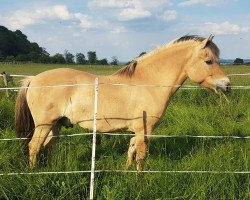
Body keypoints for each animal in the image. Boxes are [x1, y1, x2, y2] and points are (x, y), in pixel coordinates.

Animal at [15, 34, 230, 170]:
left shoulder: (138, 130)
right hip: (44, 125)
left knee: (49, 146)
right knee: (34, 147)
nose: (227, 85)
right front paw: (140, 180)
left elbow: (131, 149)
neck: (148, 83)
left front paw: (126, 172)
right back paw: (34, 173)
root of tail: (33, 79)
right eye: (209, 61)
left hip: (55, 125)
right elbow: (141, 154)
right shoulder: (145, 129)